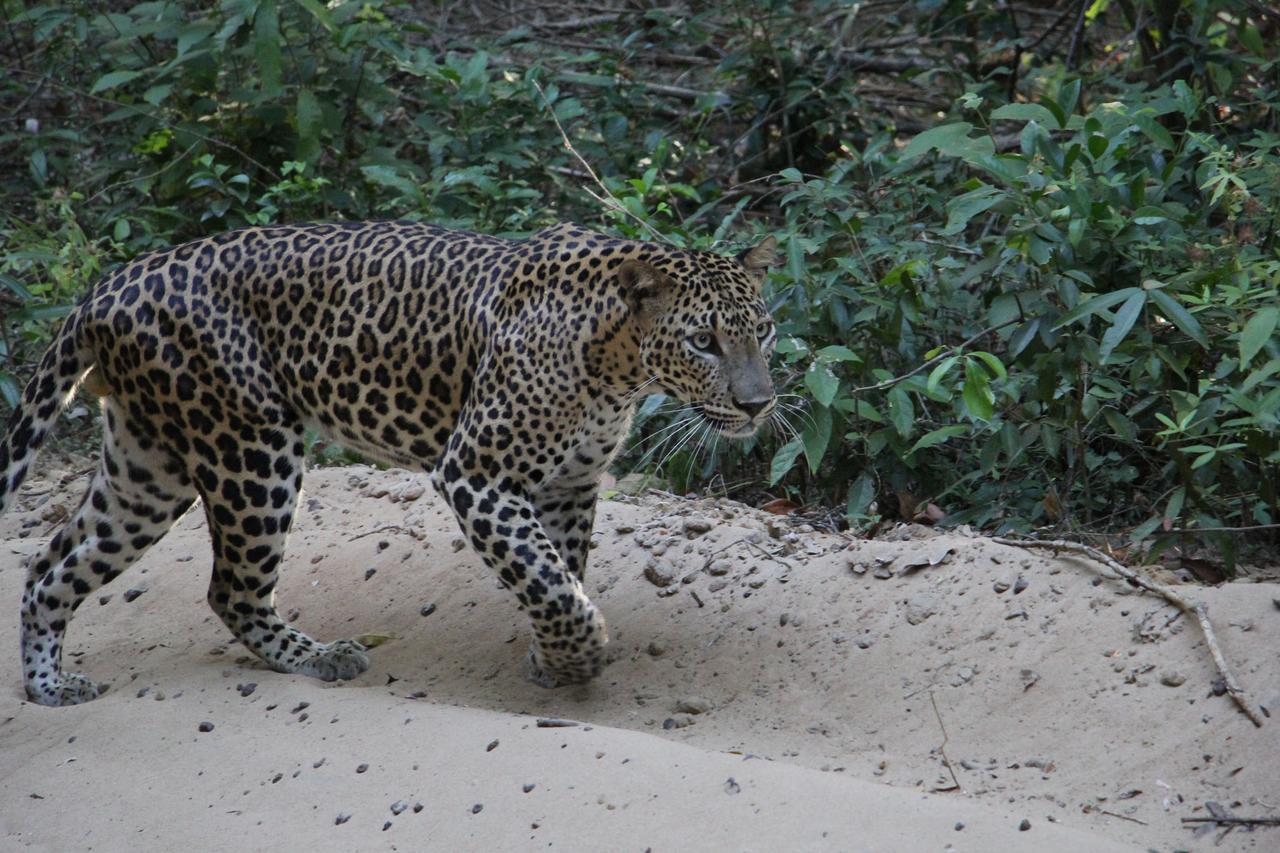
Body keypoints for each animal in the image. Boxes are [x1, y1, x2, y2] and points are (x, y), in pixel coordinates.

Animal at [0, 219, 773, 701]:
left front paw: (552, 658)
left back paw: (49, 686)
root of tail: (106, 287)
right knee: (230, 588)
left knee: (51, 565)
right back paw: (319, 657)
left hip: (147, 466)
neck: (618, 363)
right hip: (251, 446)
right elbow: (545, 577)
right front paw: (579, 653)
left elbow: (561, 569)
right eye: (703, 341)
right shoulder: (477, 473)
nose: (760, 403)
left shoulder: (572, 484)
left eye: (763, 331)